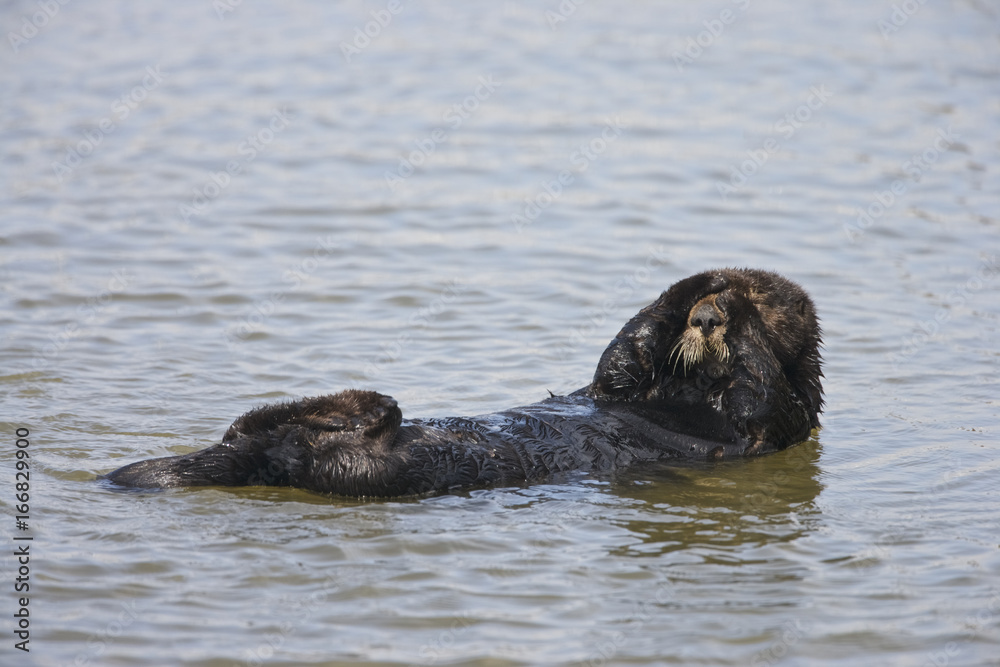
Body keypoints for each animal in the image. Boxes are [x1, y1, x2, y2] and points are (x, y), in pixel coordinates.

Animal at [103, 268, 823, 497]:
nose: (708, 317)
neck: (687, 393)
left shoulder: (768, 425)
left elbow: (765, 392)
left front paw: (738, 318)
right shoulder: (621, 386)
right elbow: (617, 363)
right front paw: (700, 289)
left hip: (360, 469)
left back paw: (373, 404)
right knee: (250, 426)